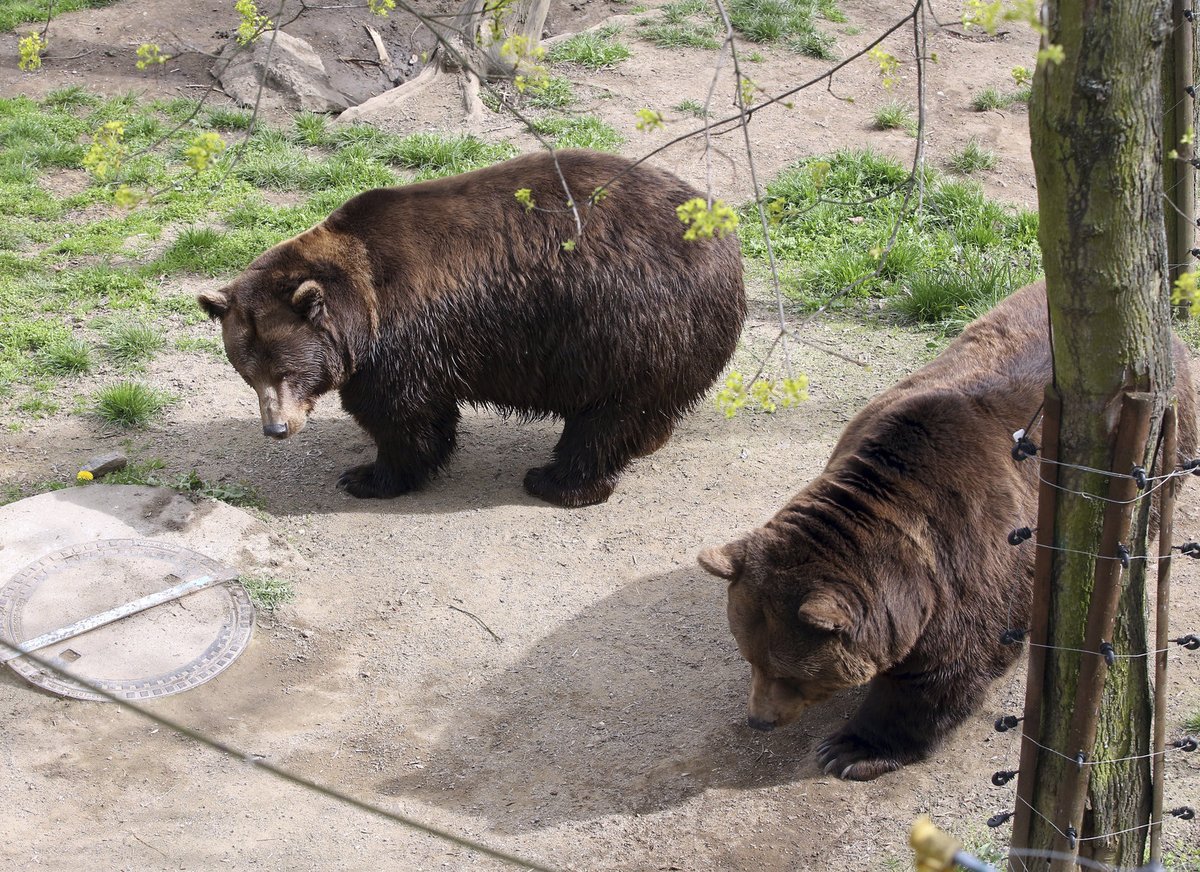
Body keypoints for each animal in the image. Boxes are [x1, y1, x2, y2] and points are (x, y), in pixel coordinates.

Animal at [195, 148, 739, 503]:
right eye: (248, 373)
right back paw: (646, 442)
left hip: (625, 327)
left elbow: (403, 414)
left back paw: (555, 481)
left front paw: (367, 476)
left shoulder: (405, 336)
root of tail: (726, 242)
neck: (361, 304)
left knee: (606, 416)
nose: (276, 427)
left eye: (288, 371)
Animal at [700, 283, 1195, 782]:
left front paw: (850, 749)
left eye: (794, 673)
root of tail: (1168, 331)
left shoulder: (970, 566)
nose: (760, 720)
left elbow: (943, 670)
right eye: (751, 656)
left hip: (1157, 455)